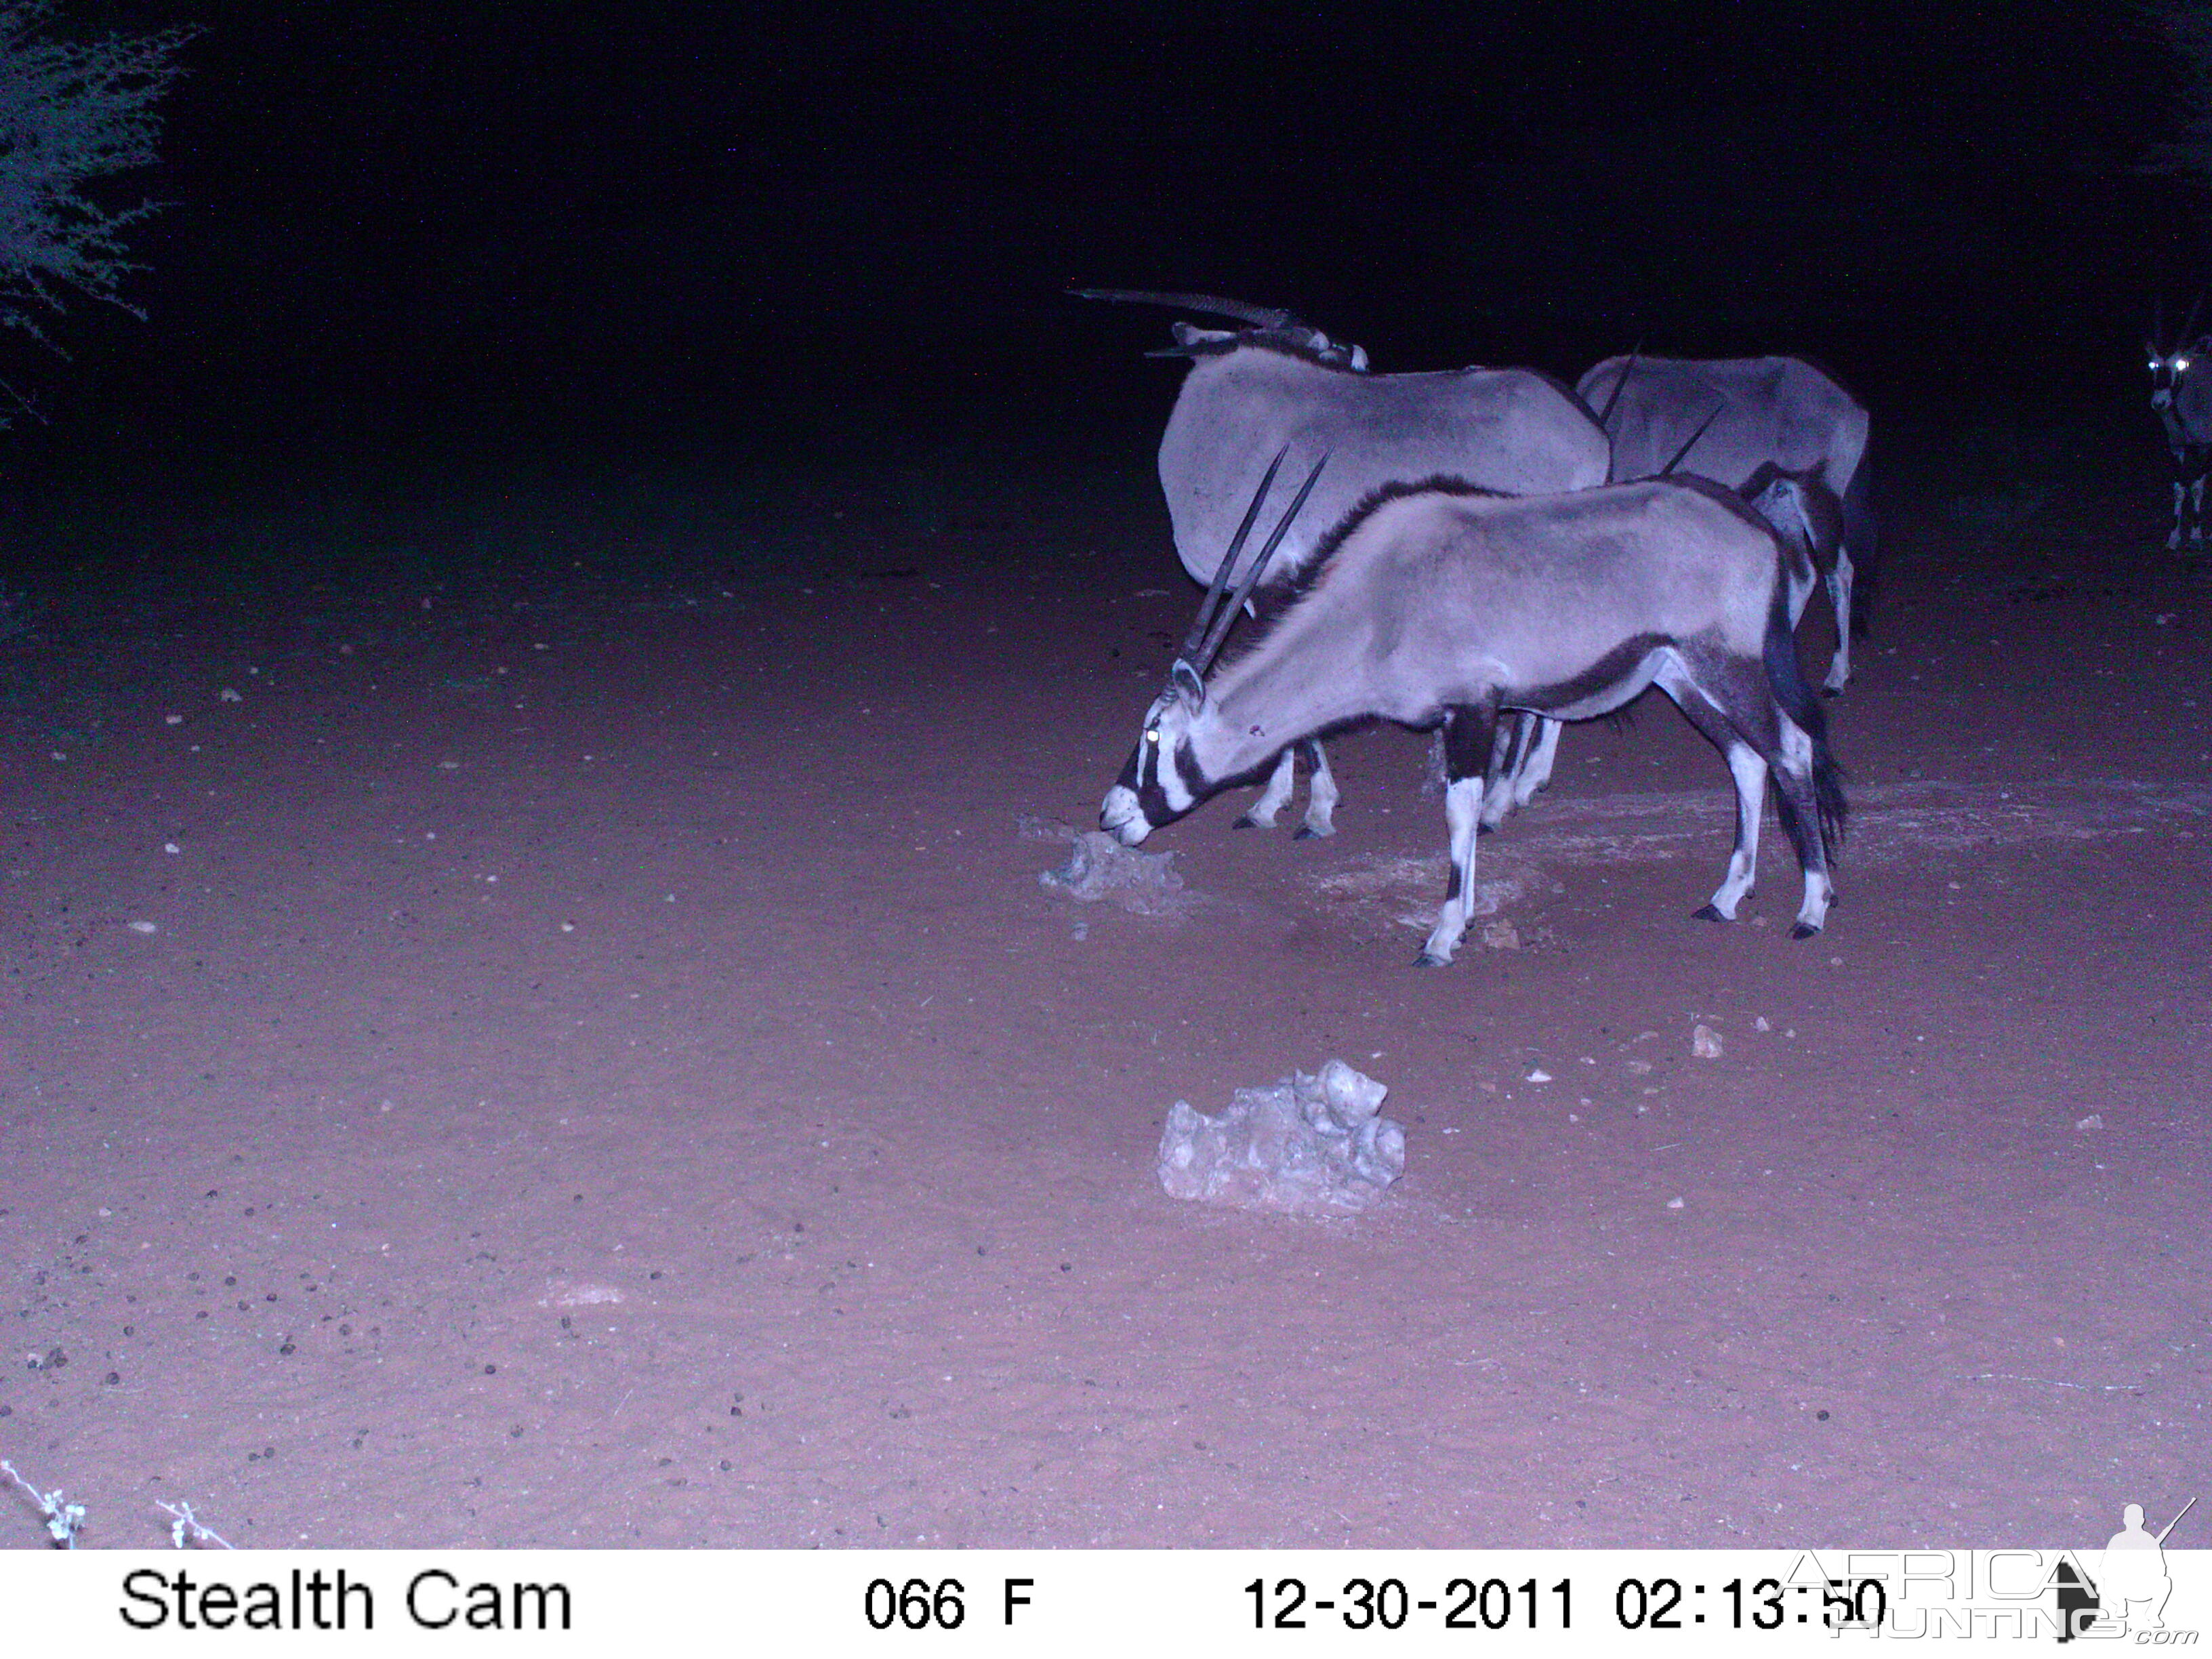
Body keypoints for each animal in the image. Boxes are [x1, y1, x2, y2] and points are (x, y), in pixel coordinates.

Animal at [1075, 289, 1610, 844]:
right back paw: (1527, 783)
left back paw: (1500, 801)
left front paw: (1310, 809)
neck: (1221, 423)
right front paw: (1277, 802)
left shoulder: (1274, 578)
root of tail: (1586, 423)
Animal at [1106, 455, 1849, 973]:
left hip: (1728, 665)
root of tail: (1757, 526)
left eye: (1155, 733)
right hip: (1681, 677)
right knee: (1747, 759)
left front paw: (1443, 934)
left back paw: (1813, 907)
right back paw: (1725, 897)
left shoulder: (1473, 708)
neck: (1378, 601)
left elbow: (1461, 813)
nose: (1112, 816)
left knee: (1790, 751)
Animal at [2141, 298, 2212, 553]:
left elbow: (2197, 486)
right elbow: (2180, 487)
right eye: (2152, 364)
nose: (2159, 403)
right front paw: (2173, 537)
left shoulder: (2205, 446)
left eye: (2181, 364)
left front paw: (2197, 533)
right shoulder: (2177, 446)